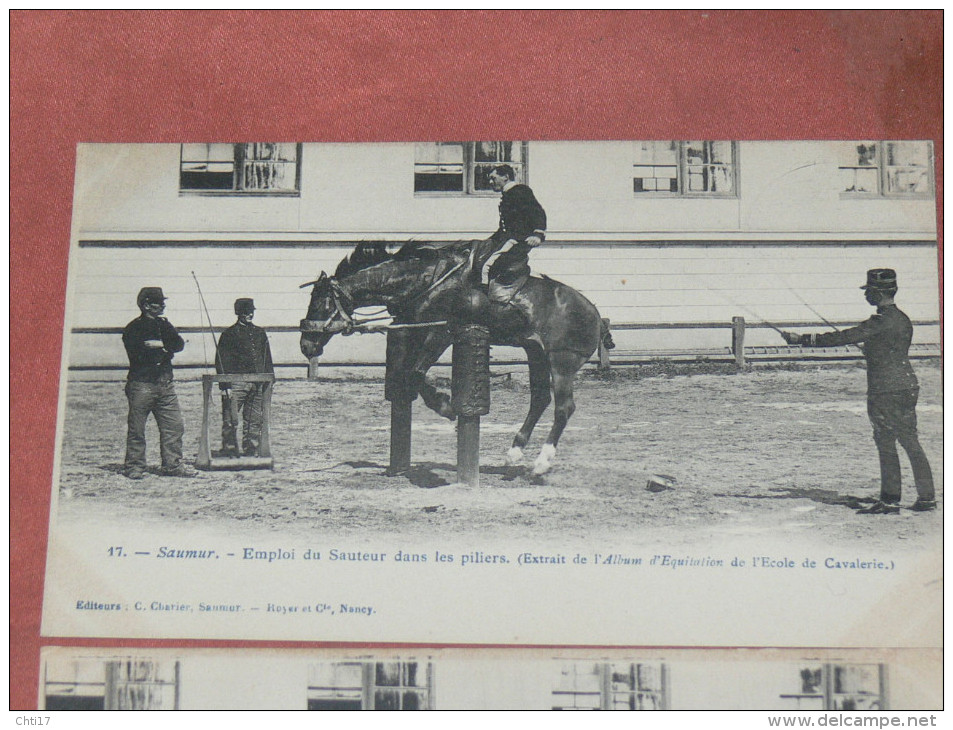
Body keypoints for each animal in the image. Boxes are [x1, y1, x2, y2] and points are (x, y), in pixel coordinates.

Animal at [298, 242, 608, 474]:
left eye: (320, 302)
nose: (305, 345)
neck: (428, 281)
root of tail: (593, 311)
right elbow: (408, 374)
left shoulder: (440, 333)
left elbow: (416, 373)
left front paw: (445, 405)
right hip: (536, 355)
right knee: (540, 399)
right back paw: (514, 452)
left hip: (561, 362)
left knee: (563, 408)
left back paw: (542, 462)